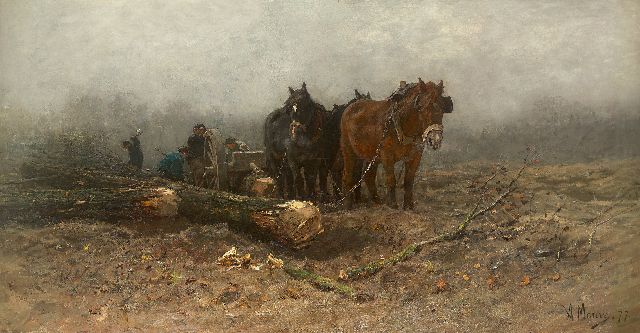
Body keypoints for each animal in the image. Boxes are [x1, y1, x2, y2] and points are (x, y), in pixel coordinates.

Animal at [342, 78, 452, 209]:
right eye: (421, 107)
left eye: (442, 108)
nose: (435, 139)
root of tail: (350, 107)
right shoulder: (387, 156)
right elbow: (391, 180)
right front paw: (393, 205)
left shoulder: (415, 156)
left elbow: (409, 180)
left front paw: (408, 206)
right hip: (348, 150)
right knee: (348, 175)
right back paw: (348, 204)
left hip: (371, 154)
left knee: (369, 176)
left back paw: (377, 201)